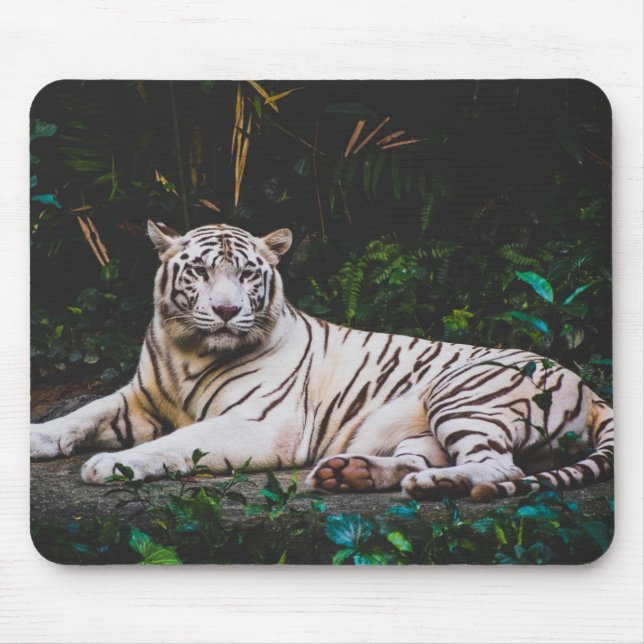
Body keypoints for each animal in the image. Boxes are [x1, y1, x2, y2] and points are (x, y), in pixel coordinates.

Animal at [30, 221, 614, 501]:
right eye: (199, 272)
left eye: (247, 274)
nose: (226, 311)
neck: (188, 350)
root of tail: (592, 390)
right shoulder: (139, 398)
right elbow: (80, 414)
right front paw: (36, 437)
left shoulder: (261, 424)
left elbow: (178, 441)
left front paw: (110, 465)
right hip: (425, 428)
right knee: (426, 460)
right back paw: (350, 475)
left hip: (464, 394)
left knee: (499, 466)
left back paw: (438, 487)